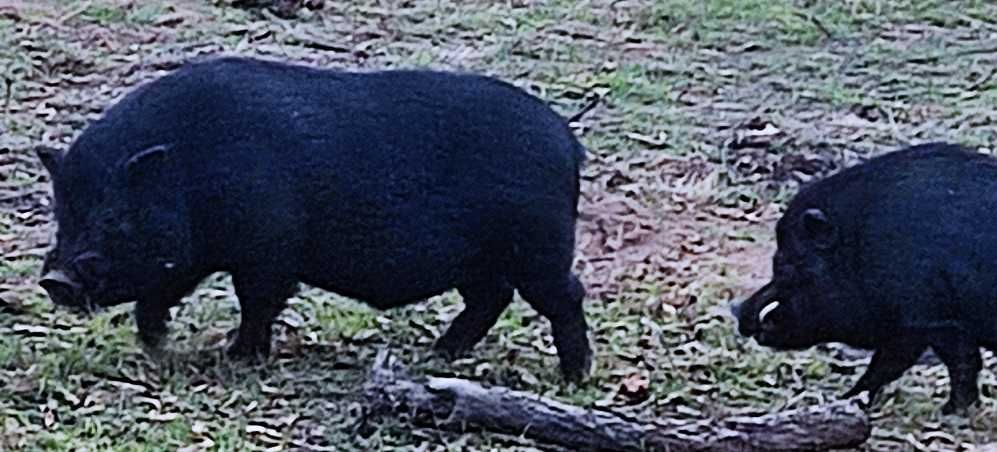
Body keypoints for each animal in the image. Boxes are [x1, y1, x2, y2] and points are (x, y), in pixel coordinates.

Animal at [36, 56, 593, 381]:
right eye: (61, 210)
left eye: (114, 216)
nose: (55, 279)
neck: (191, 170)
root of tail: (567, 141)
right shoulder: (195, 254)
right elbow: (160, 294)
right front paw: (158, 345)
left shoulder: (268, 250)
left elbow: (258, 302)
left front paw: (236, 356)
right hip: (482, 260)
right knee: (490, 298)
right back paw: (438, 355)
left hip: (539, 245)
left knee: (565, 295)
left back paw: (574, 377)